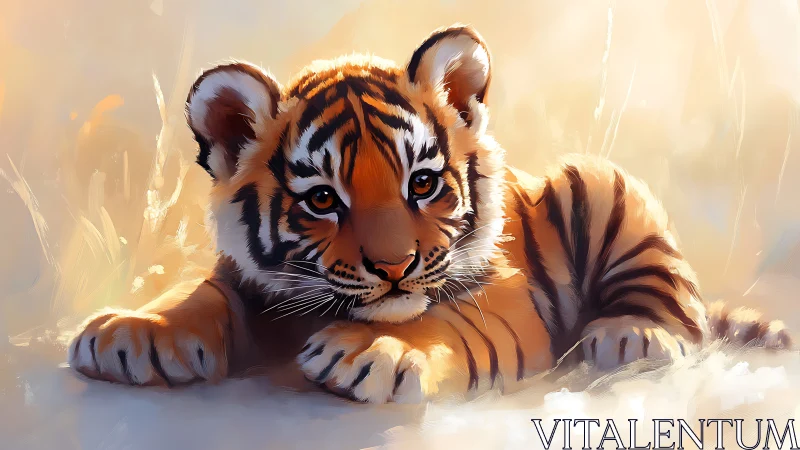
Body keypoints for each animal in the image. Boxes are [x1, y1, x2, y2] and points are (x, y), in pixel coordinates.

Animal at [68, 24, 791, 403]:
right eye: (322, 199)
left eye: (422, 183)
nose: (394, 267)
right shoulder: (242, 277)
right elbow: (196, 295)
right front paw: (130, 332)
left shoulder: (501, 294)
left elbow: (439, 322)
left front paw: (374, 350)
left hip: (604, 185)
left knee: (677, 301)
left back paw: (630, 334)